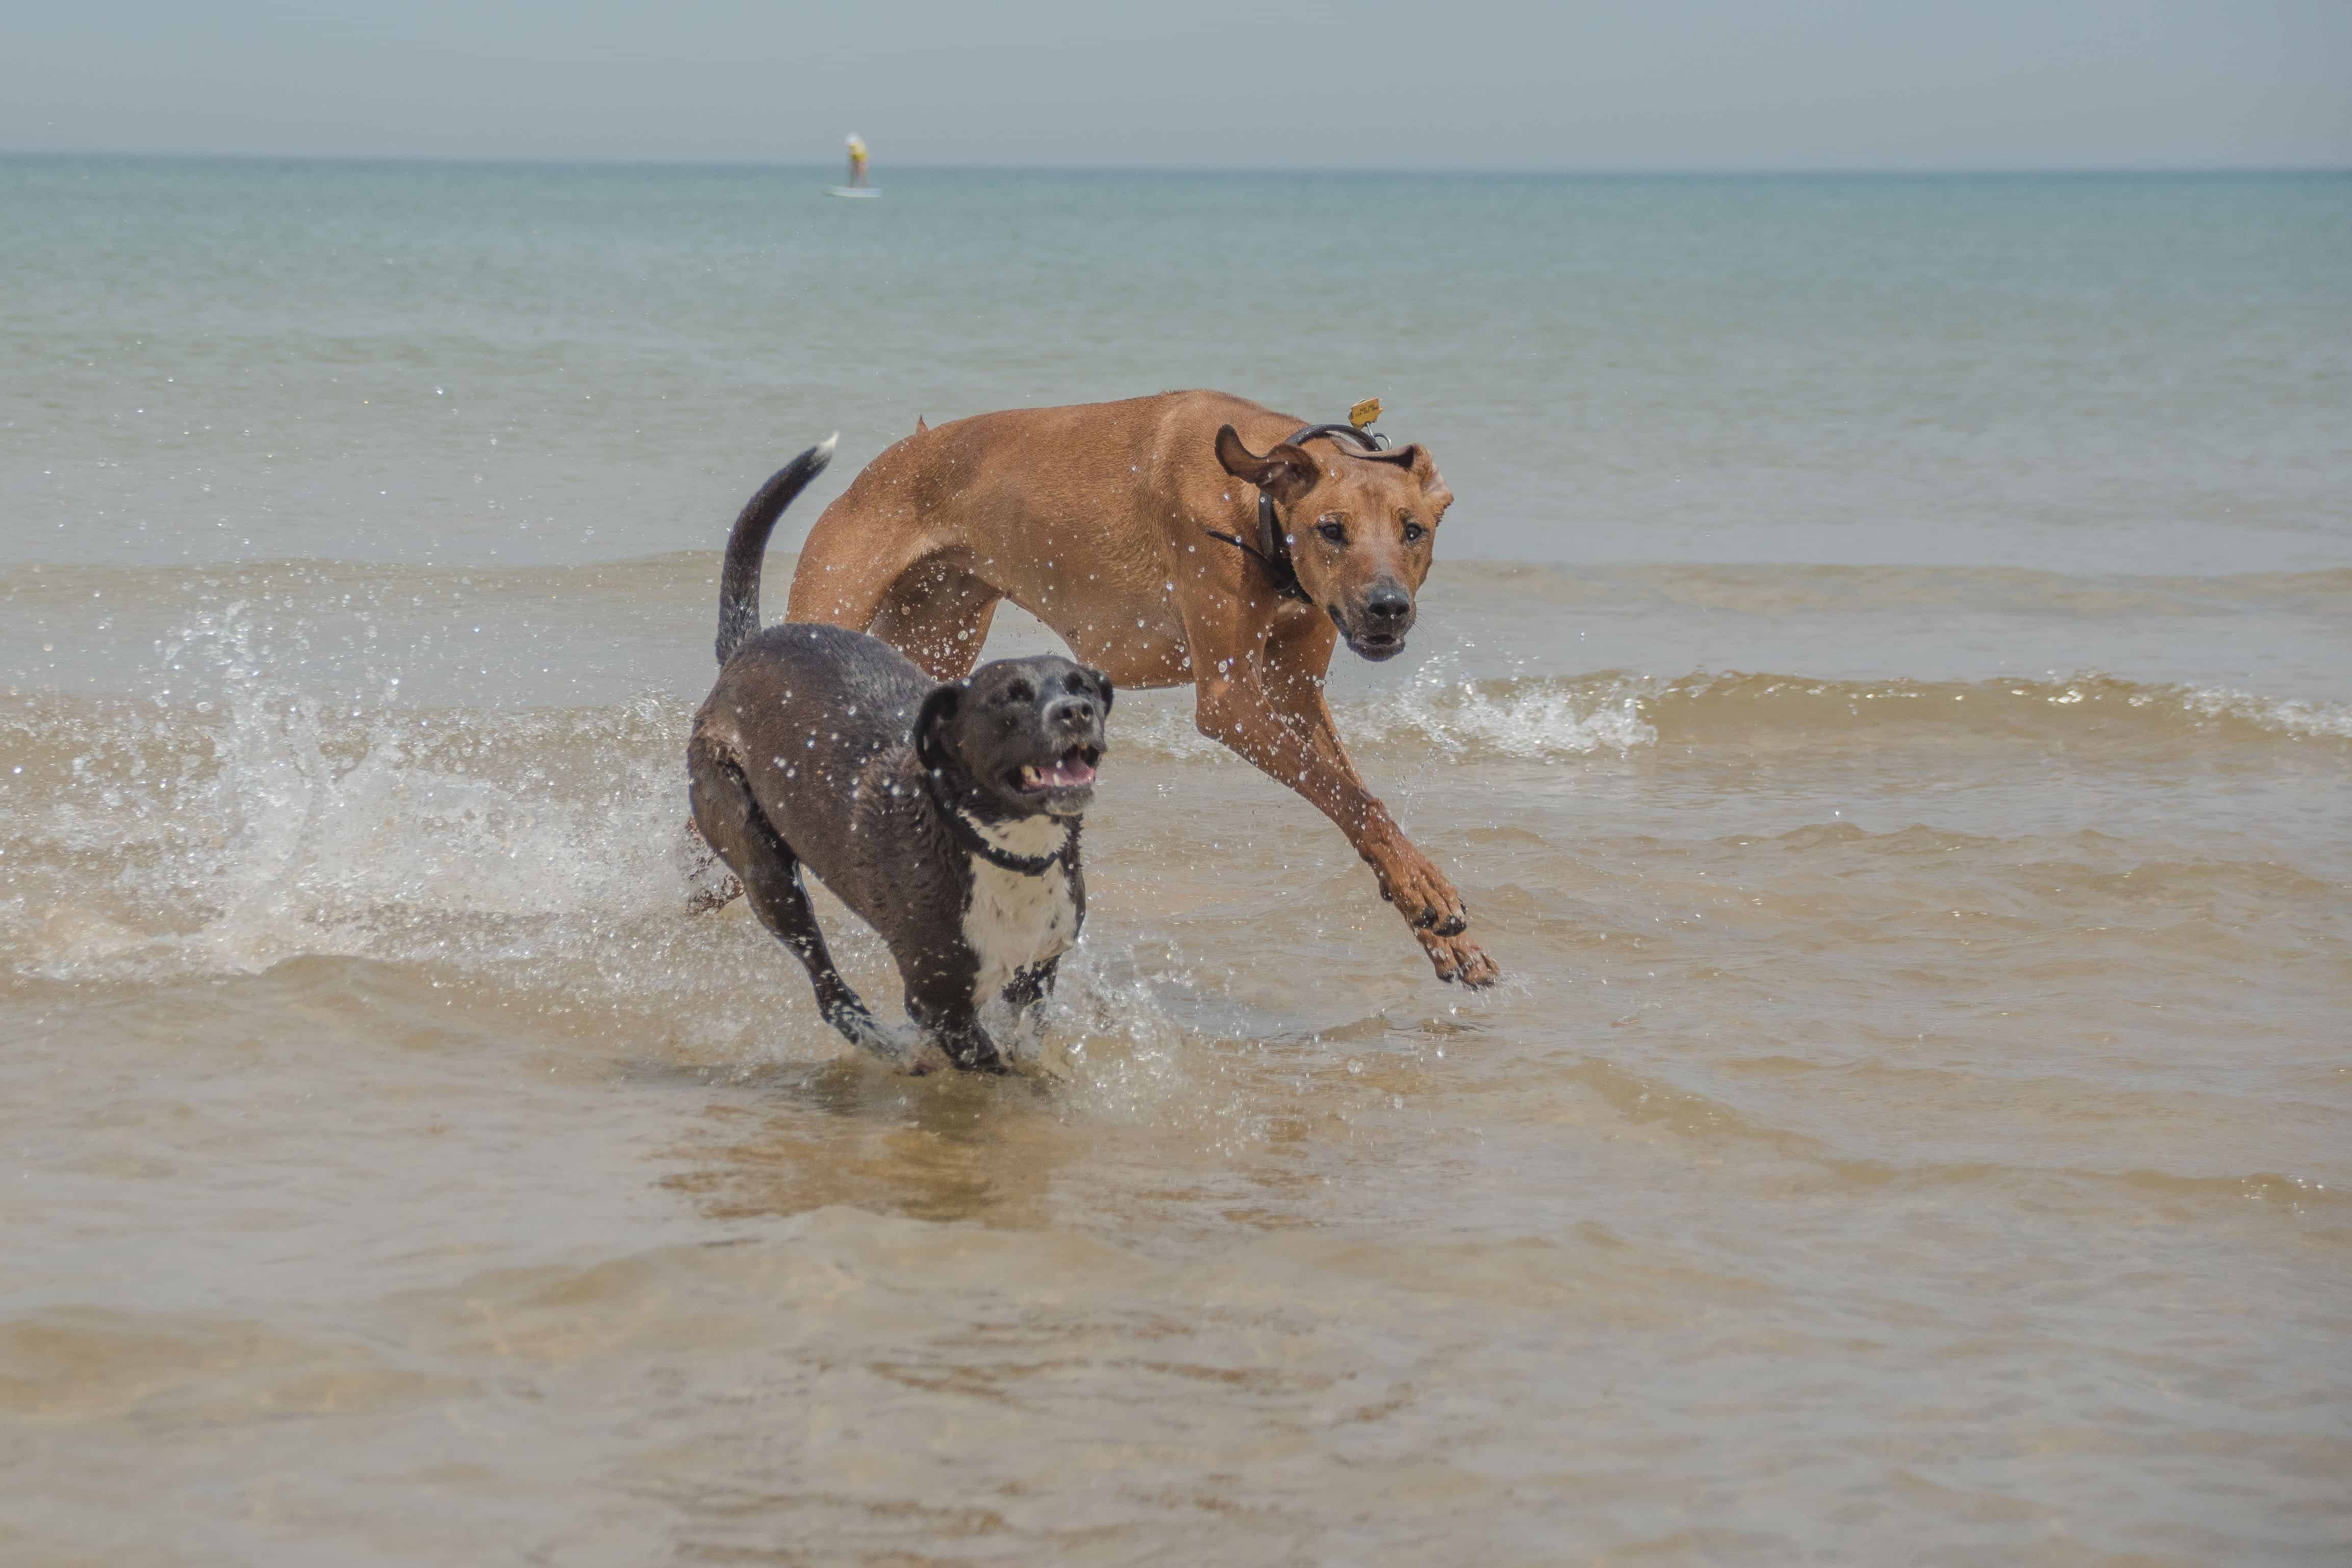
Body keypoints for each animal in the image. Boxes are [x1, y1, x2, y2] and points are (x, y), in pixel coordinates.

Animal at [687, 442, 1115, 1081]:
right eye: (1010, 696)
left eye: (1081, 684)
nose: (1076, 711)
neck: (1002, 848)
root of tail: (744, 652)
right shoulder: (939, 999)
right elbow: (989, 1058)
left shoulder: (1037, 971)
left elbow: (1025, 1040)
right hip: (762, 864)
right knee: (829, 990)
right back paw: (888, 1046)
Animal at [780, 390, 1496, 982]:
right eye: (1332, 529)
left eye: (1413, 530)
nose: (1387, 608)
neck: (1254, 501)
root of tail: (905, 450)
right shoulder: (1233, 702)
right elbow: (1352, 799)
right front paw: (1427, 890)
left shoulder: (1296, 691)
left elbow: (1360, 799)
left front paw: (1439, 927)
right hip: (835, 602)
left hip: (935, 628)